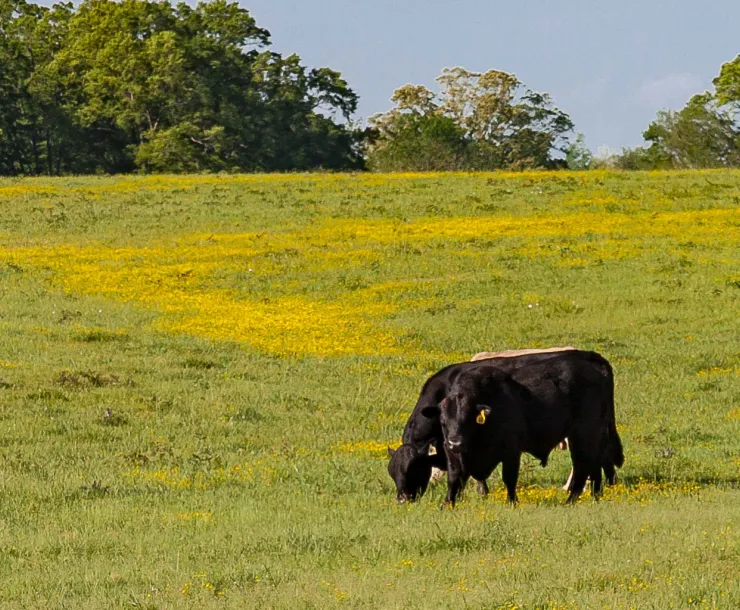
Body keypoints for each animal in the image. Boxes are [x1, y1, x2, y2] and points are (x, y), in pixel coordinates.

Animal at [422, 350, 624, 507]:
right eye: (443, 422)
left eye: (468, 420)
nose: (455, 443)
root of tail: (594, 360)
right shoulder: (454, 457)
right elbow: (454, 480)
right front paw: (447, 505)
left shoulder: (511, 451)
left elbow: (509, 478)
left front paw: (512, 502)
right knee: (595, 464)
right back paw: (595, 496)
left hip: (584, 434)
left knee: (583, 466)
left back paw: (571, 500)